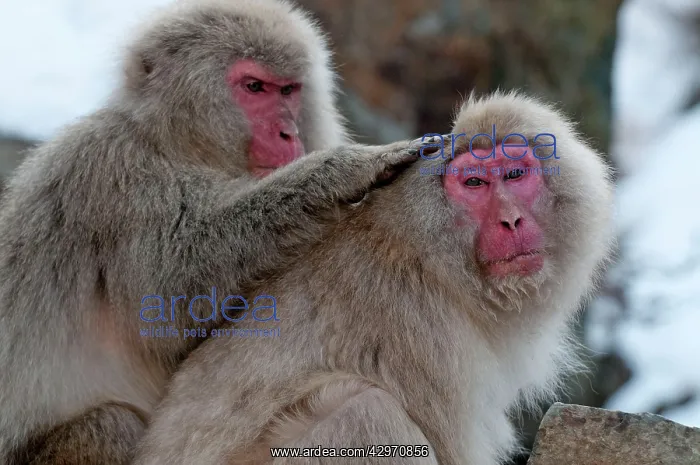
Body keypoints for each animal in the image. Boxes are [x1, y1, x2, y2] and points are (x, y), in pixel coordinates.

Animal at [0, 0, 427, 463]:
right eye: (255, 87)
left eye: (288, 91)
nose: (288, 133)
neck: (177, 148)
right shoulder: (110, 173)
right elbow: (166, 300)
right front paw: (341, 170)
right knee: (110, 426)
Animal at [131, 91, 615, 465]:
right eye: (474, 183)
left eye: (514, 174)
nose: (510, 221)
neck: (429, 256)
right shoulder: (424, 333)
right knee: (365, 411)